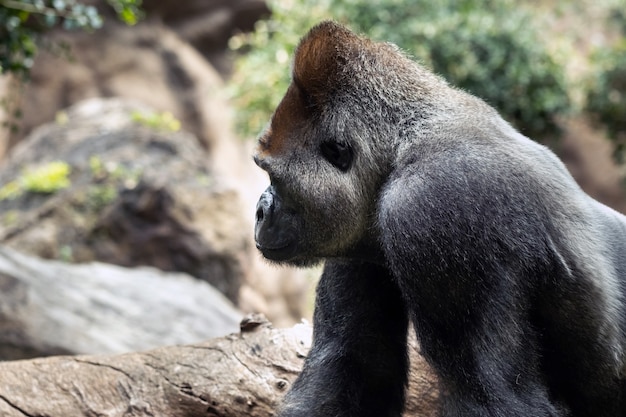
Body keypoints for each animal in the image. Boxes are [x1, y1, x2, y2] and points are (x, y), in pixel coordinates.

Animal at [251, 21, 624, 414]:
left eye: (274, 176)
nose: (260, 210)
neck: (401, 145)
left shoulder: (432, 207)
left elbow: (499, 397)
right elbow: (351, 366)